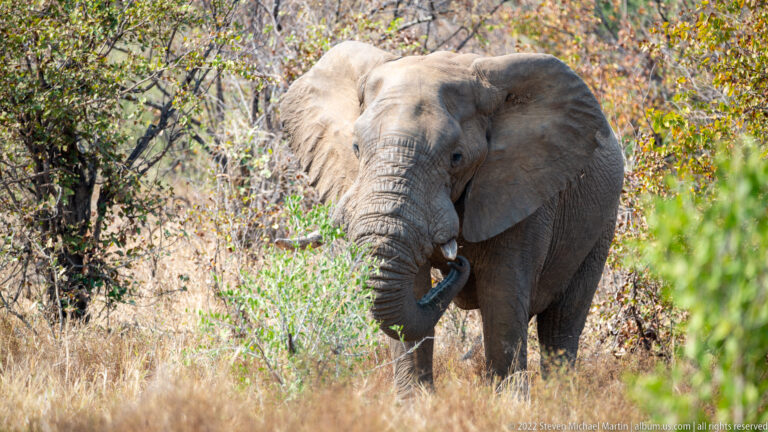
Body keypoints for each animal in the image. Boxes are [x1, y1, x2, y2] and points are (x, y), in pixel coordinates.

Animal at [279, 41, 624, 393]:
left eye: (456, 157)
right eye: (356, 148)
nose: (457, 263)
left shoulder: (523, 190)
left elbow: (502, 305)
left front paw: (507, 402)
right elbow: (412, 297)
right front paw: (415, 403)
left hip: (602, 224)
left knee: (562, 324)